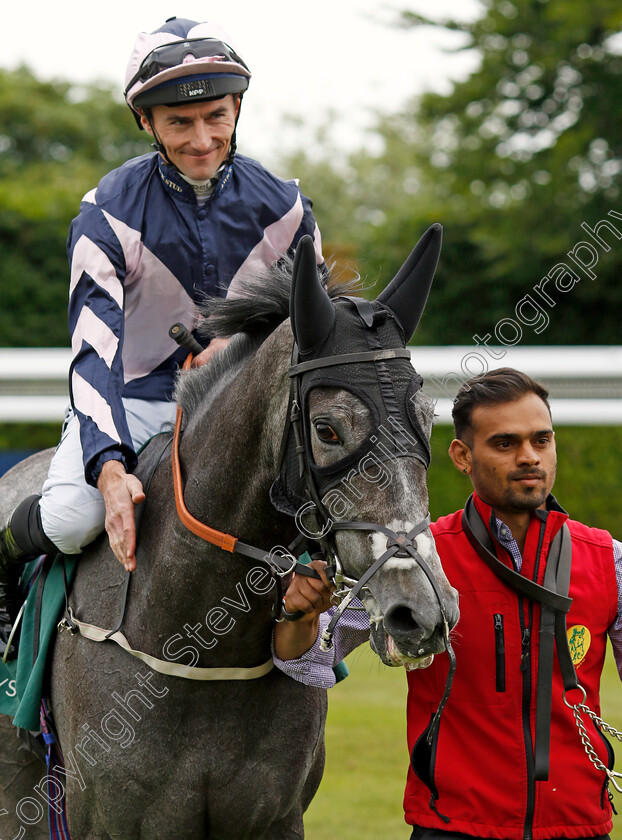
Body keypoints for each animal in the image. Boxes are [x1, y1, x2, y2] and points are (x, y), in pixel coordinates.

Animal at [0, 230, 458, 840]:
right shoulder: (104, 820)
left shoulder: (275, 818)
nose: (423, 612)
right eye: (327, 429)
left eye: (428, 418)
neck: (196, 650)